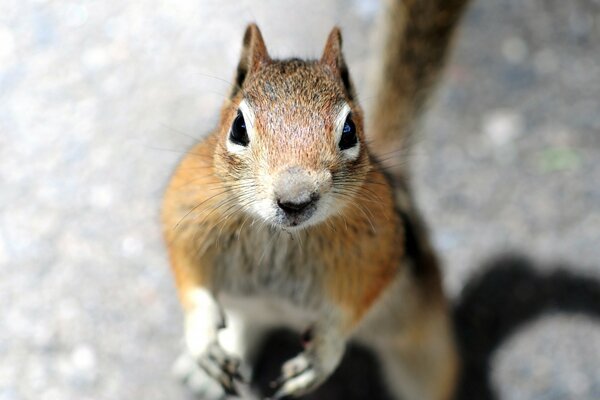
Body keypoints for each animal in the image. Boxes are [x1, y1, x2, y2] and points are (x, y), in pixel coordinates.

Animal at [162, 1, 472, 398]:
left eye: (349, 130)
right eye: (238, 127)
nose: (295, 200)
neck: (281, 236)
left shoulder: (377, 252)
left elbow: (349, 309)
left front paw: (322, 355)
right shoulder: (186, 213)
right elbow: (192, 283)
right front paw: (202, 340)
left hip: (423, 346)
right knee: (247, 321)